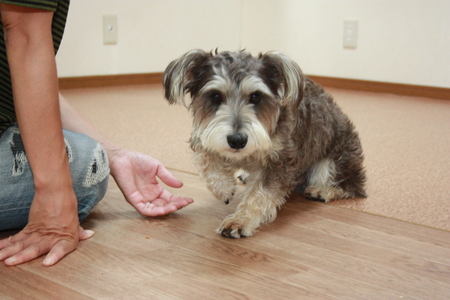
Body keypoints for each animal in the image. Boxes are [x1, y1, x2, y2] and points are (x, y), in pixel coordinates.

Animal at [163, 49, 368, 239]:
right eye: (215, 96)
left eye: (255, 97)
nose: (237, 140)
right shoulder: (203, 135)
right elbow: (206, 157)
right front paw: (223, 188)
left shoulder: (280, 160)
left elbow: (259, 195)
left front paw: (240, 221)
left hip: (335, 162)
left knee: (350, 186)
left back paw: (323, 190)